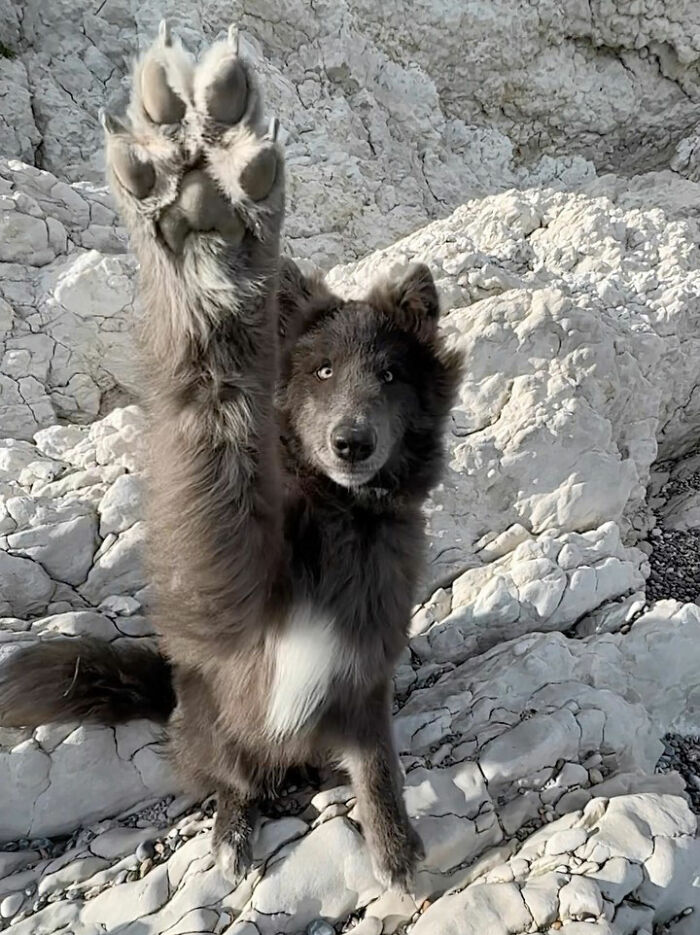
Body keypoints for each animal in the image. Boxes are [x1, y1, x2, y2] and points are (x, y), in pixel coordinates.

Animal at [0, 23, 461, 890]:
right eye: (321, 370)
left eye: (391, 374)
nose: (353, 442)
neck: (337, 515)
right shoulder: (227, 587)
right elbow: (212, 417)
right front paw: (206, 240)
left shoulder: (365, 681)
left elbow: (378, 765)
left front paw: (394, 848)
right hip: (215, 723)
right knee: (227, 779)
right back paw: (232, 826)